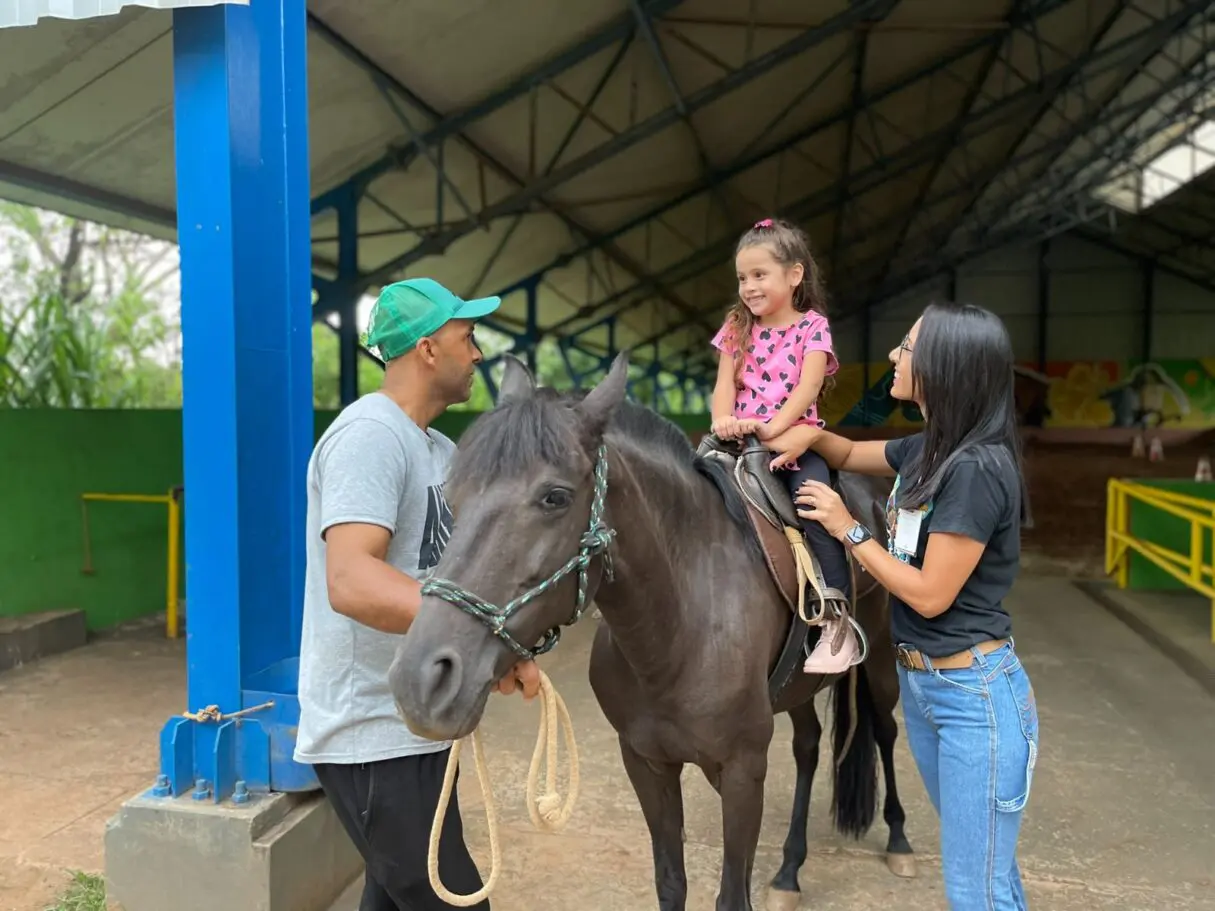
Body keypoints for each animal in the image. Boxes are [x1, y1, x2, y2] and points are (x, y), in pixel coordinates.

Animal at [393, 357, 913, 911]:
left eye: (555, 497)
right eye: (453, 497)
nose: (421, 681)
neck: (677, 634)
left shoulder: (743, 771)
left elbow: (731, 894)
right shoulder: (646, 764)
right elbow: (671, 882)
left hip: (882, 658)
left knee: (884, 728)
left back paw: (899, 840)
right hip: (797, 687)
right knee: (809, 746)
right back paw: (789, 870)